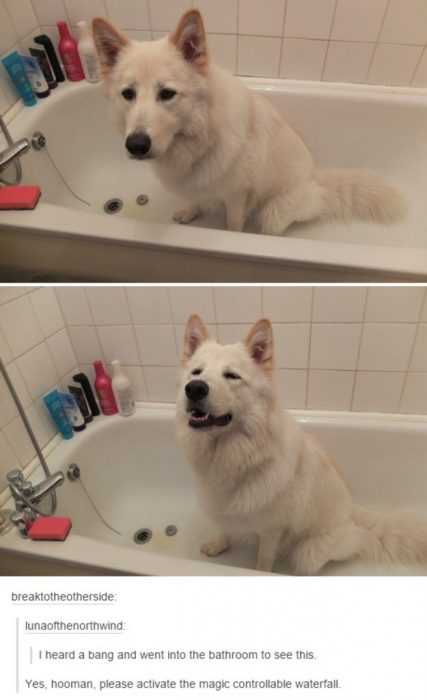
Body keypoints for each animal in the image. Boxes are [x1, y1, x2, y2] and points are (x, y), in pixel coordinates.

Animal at [93, 9, 408, 237]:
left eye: (167, 94)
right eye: (128, 94)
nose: (136, 145)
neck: (198, 139)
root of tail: (316, 179)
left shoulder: (236, 195)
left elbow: (234, 223)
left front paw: (233, 239)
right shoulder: (194, 184)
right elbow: (193, 198)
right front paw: (189, 211)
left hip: (274, 213)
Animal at [176, 318, 427, 576]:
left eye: (232, 376)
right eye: (196, 372)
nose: (194, 388)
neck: (234, 454)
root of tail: (351, 513)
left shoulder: (271, 530)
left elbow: (264, 558)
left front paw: (260, 573)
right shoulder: (222, 507)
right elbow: (223, 528)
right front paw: (218, 545)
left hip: (308, 553)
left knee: (357, 542)